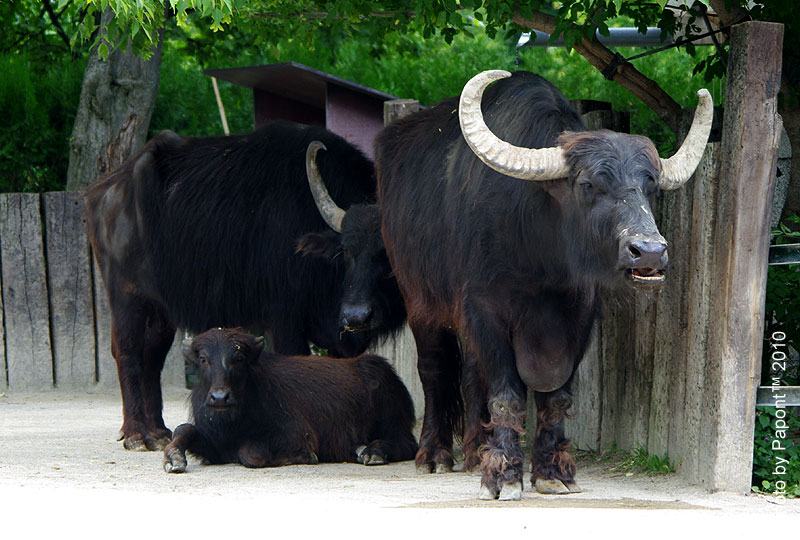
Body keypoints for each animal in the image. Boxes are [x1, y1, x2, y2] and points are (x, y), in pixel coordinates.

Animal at [84, 121, 406, 451]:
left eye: (387, 254)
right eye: (345, 251)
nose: (356, 315)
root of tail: (105, 190)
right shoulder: (284, 321)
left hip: (161, 310)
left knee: (152, 357)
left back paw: (158, 431)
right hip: (126, 297)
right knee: (128, 352)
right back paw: (137, 434)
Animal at [162, 328, 418, 472]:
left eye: (239, 357)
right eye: (203, 359)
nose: (219, 398)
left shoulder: (295, 433)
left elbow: (251, 453)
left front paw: (305, 456)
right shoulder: (213, 444)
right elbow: (184, 429)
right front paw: (173, 458)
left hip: (394, 420)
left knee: (405, 444)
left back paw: (373, 452)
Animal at [372, 70, 713, 500]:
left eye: (650, 186)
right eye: (588, 185)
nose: (649, 252)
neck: (542, 265)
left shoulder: (579, 320)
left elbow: (556, 397)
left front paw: (552, 472)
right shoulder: (484, 309)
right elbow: (506, 396)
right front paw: (502, 477)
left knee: (471, 375)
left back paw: (475, 453)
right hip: (418, 297)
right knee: (435, 369)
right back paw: (434, 455)